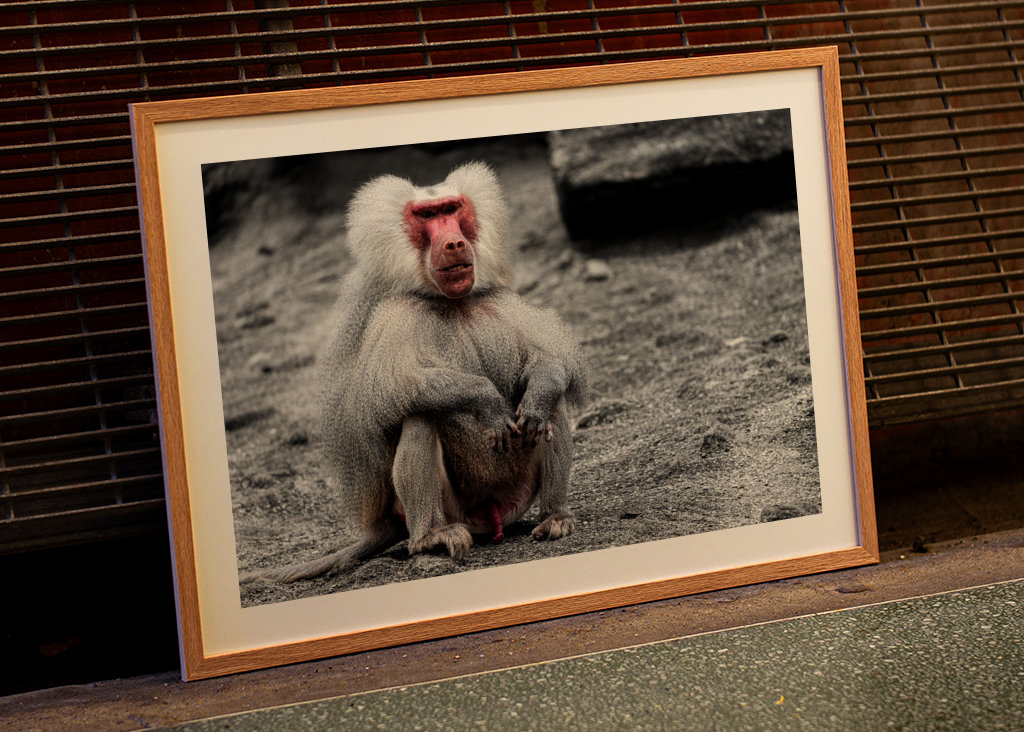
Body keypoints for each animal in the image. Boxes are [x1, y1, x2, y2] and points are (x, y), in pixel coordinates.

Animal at [242, 162, 587, 584]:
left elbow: (548, 362)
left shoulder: (500, 301)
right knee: (420, 414)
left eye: (452, 209)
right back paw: (430, 539)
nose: (454, 244)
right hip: (456, 510)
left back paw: (555, 517)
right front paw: (487, 401)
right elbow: (392, 389)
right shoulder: (395, 314)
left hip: (516, 494)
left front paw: (536, 395)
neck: (451, 302)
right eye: (426, 215)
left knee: (552, 405)